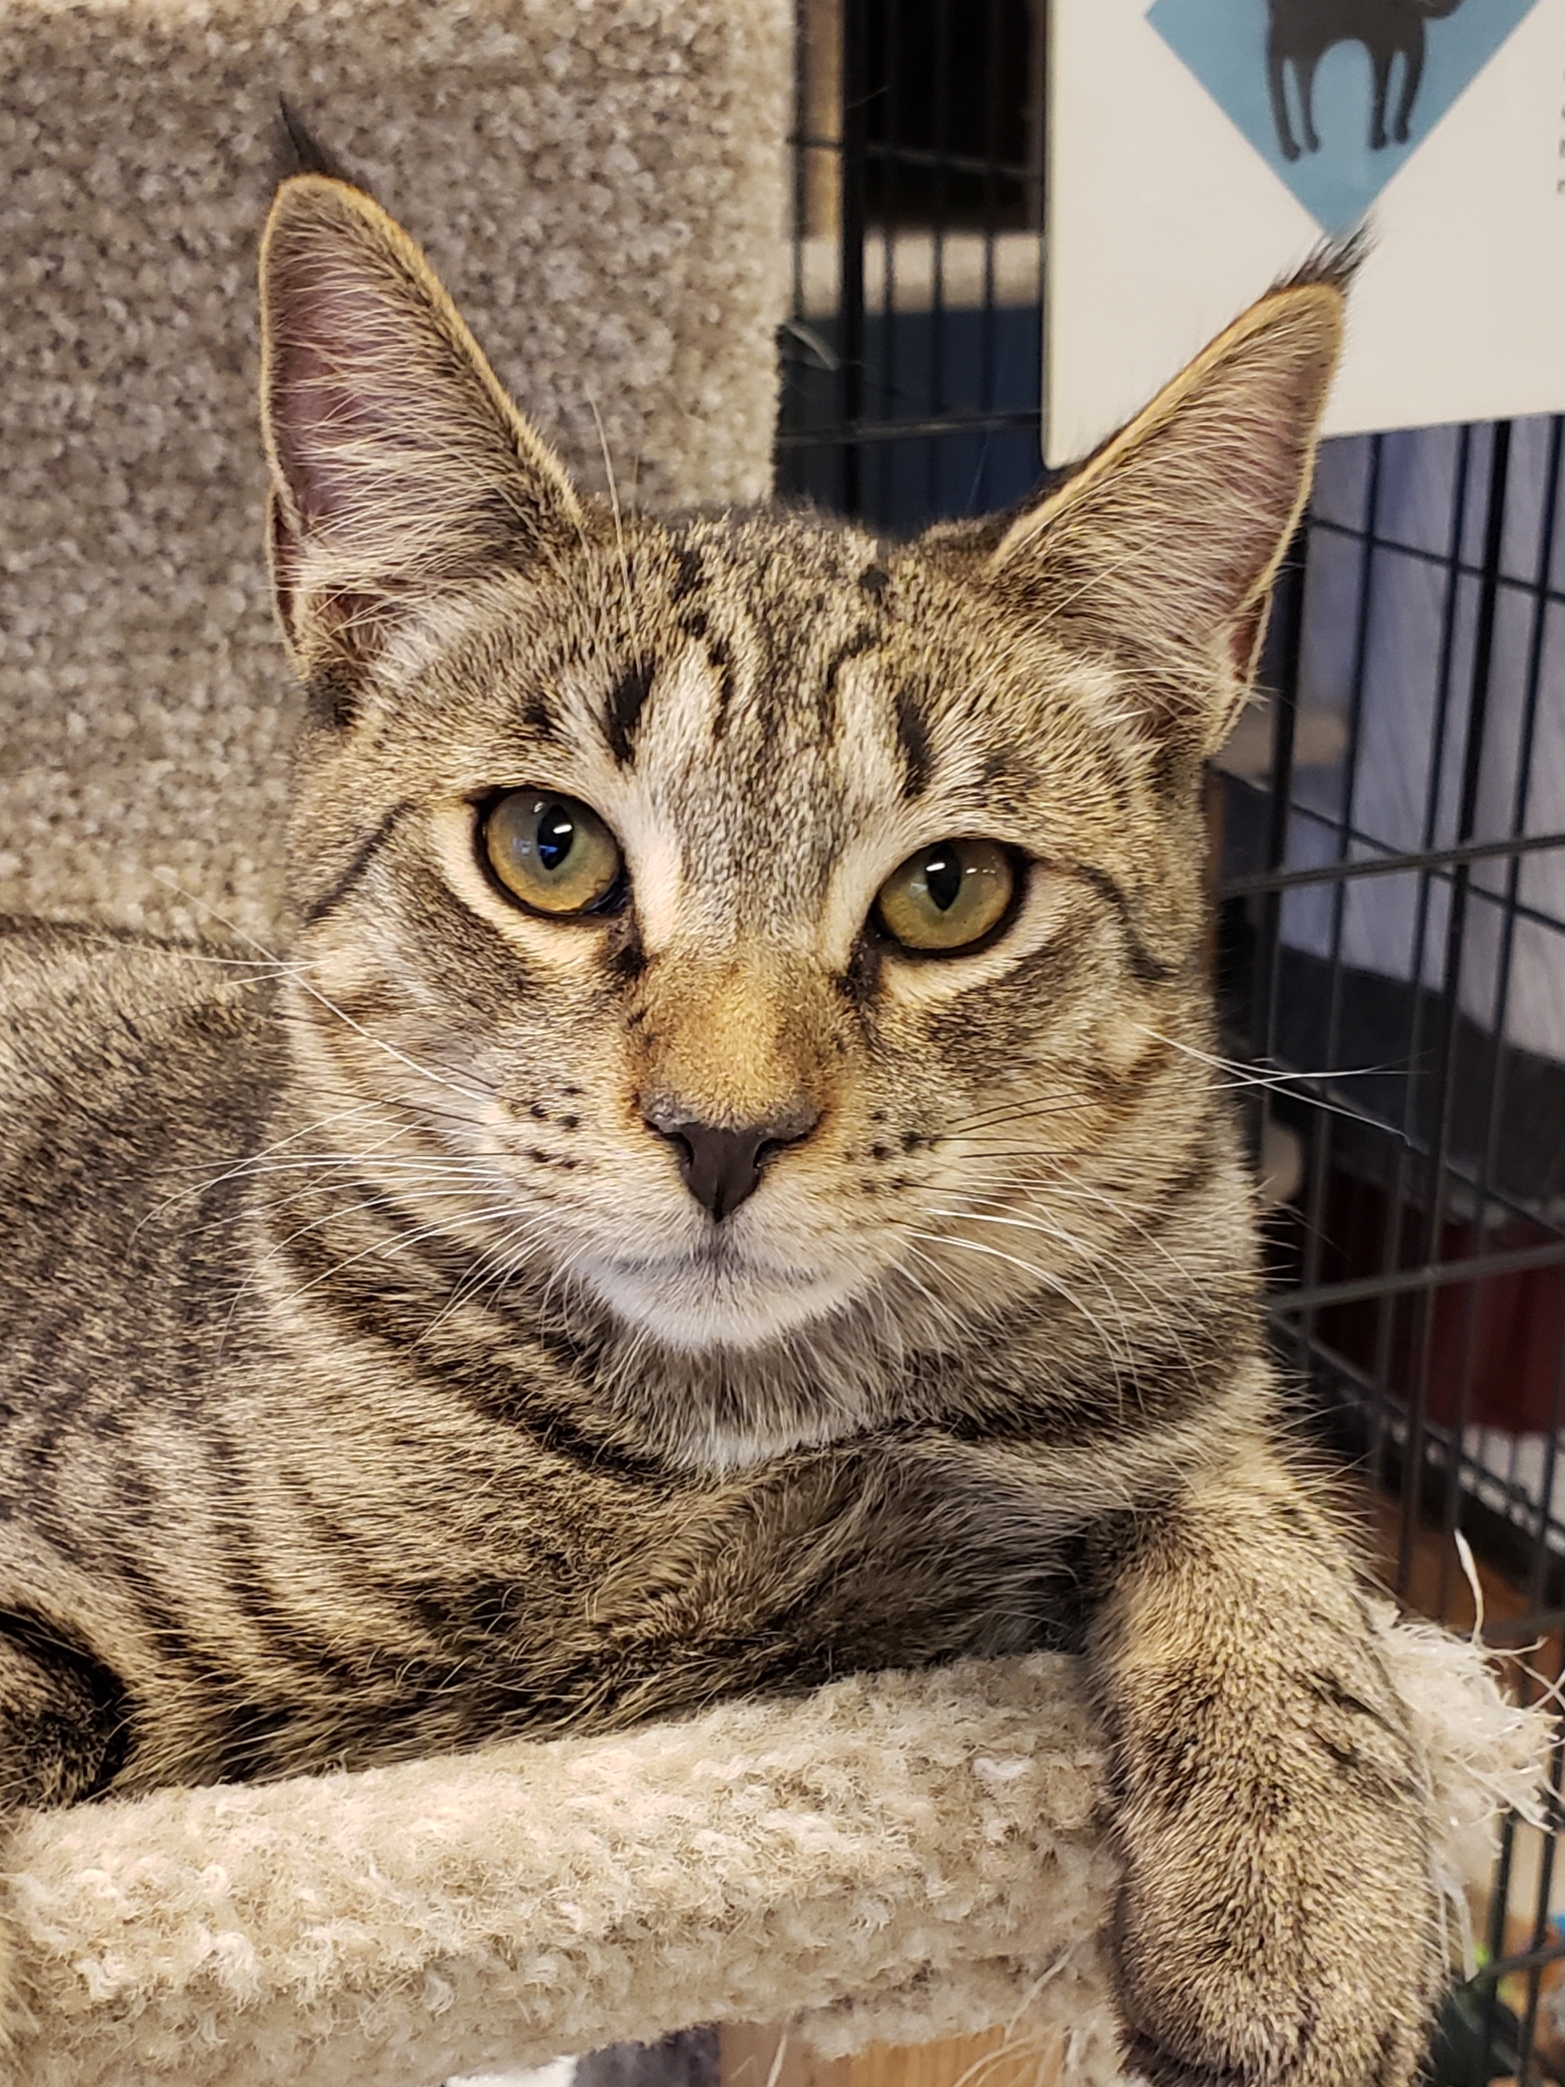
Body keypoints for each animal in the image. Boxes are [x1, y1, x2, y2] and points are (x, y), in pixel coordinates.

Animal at [0, 179, 1443, 2087]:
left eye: (949, 890)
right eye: (547, 846)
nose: (723, 1132)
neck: (739, 1431)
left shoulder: (1158, 1372)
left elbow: (1261, 1521)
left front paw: (1303, 1879)